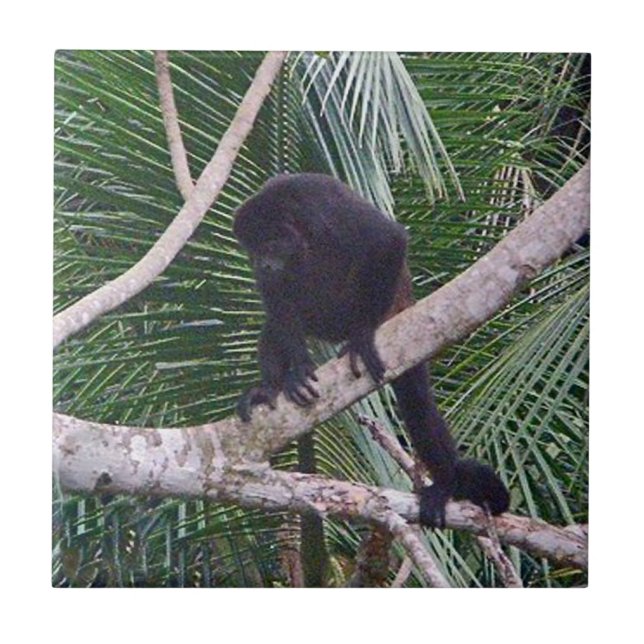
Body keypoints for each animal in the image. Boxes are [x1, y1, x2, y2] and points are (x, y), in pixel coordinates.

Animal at [233, 173, 510, 527]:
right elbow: (276, 300)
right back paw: (270, 388)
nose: (263, 264)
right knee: (274, 327)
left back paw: (446, 482)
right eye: (252, 251)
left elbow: (387, 239)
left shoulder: (323, 207)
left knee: (418, 405)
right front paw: (296, 370)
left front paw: (363, 336)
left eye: (269, 245)